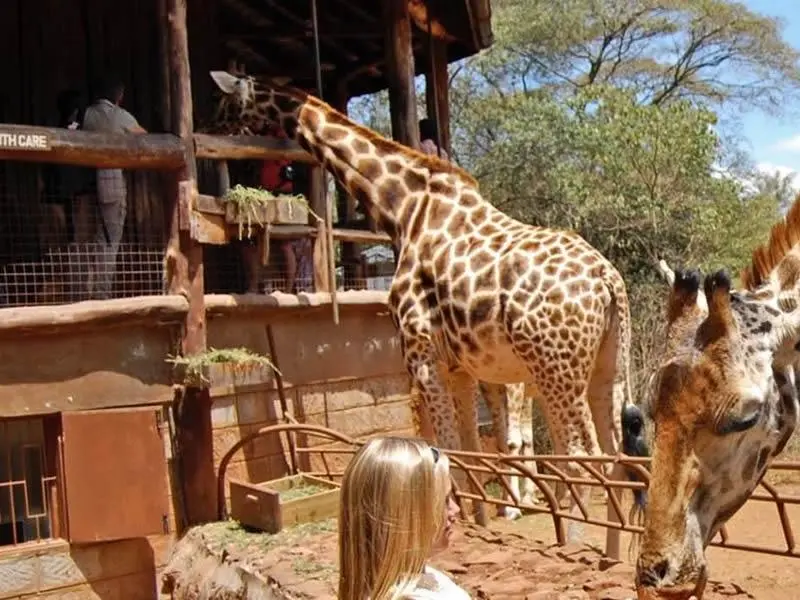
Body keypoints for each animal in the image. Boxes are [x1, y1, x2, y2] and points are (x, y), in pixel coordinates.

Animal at [207, 70, 642, 554]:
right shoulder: (461, 366)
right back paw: (609, 552)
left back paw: (575, 542)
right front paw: (478, 519)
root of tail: (608, 280)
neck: (403, 209)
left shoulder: (419, 353)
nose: (212, 135)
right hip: (607, 366)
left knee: (584, 457)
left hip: (555, 370)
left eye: (223, 104)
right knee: (616, 454)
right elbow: (470, 447)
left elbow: (446, 449)